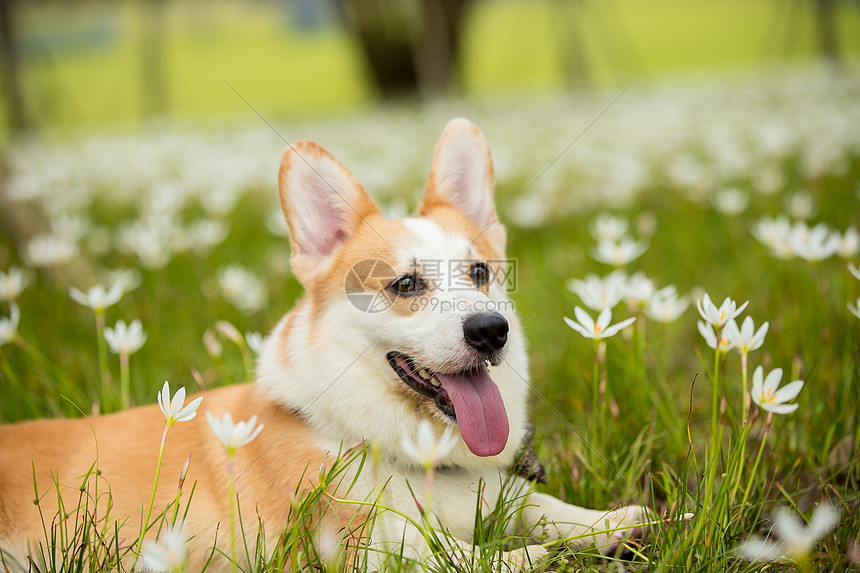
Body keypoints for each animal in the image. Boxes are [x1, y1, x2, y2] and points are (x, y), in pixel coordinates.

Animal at [0, 118, 644, 568]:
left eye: (482, 273)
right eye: (406, 284)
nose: (490, 330)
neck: (410, 453)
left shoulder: (496, 496)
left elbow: (543, 508)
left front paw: (616, 523)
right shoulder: (362, 547)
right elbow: (465, 557)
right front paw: (536, 556)